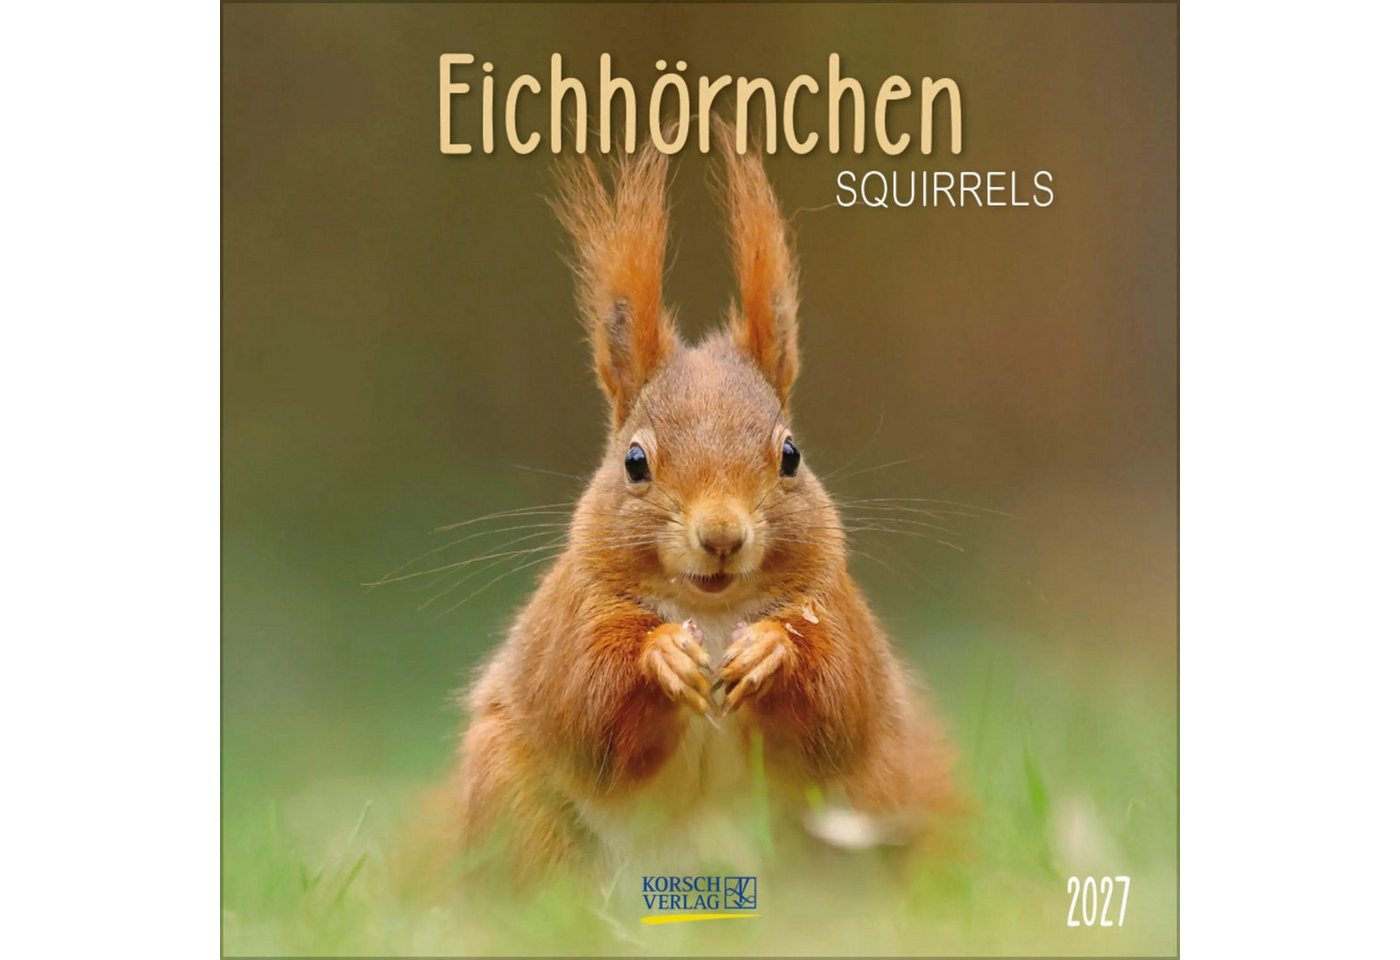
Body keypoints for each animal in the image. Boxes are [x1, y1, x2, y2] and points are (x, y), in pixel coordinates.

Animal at [455, 131, 959, 883]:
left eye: (791, 455)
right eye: (634, 462)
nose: (721, 536)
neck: (714, 613)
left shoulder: (840, 614)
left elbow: (838, 694)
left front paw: (772, 650)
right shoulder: (569, 617)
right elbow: (585, 695)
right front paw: (661, 654)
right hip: (510, 790)